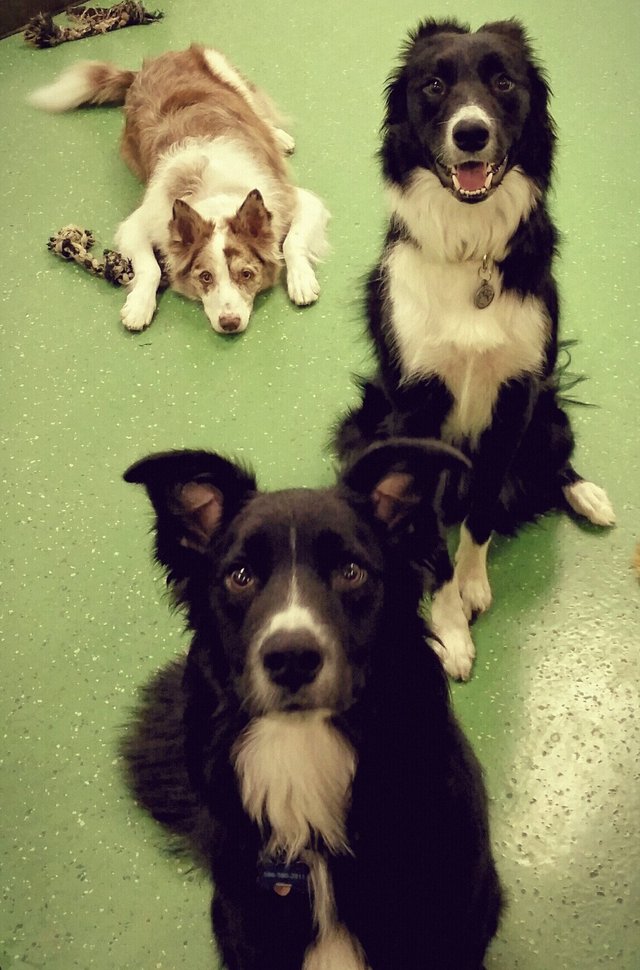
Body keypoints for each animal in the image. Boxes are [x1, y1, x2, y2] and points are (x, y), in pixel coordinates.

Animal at [30, 43, 330, 334]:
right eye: (205, 277)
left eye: (246, 274)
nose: (229, 323)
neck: (215, 194)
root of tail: (149, 64)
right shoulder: (138, 222)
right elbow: (150, 268)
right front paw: (139, 306)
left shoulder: (295, 198)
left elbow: (292, 241)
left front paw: (301, 281)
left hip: (224, 69)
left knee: (258, 110)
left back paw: (279, 138)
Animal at [336, 17, 616, 680]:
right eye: (434, 85)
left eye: (504, 83)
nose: (471, 132)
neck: (471, 249)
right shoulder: (413, 413)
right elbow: (427, 530)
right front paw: (449, 629)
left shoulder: (515, 399)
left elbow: (482, 508)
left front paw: (471, 587)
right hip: (364, 426)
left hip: (548, 416)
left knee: (555, 459)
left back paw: (587, 494)